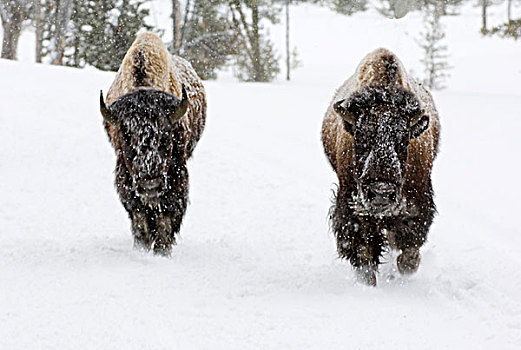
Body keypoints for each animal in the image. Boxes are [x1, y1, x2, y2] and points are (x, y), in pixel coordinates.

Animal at [99, 32, 205, 258]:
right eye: (126, 137)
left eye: (166, 135)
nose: (150, 185)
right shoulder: (126, 175)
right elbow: (139, 215)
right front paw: (142, 247)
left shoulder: (176, 173)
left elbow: (166, 215)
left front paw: (163, 250)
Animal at [320, 47, 438, 286]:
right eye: (361, 136)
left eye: (404, 139)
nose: (381, 192)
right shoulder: (352, 209)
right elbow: (363, 252)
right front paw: (369, 283)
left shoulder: (418, 203)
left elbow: (409, 250)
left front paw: (404, 268)